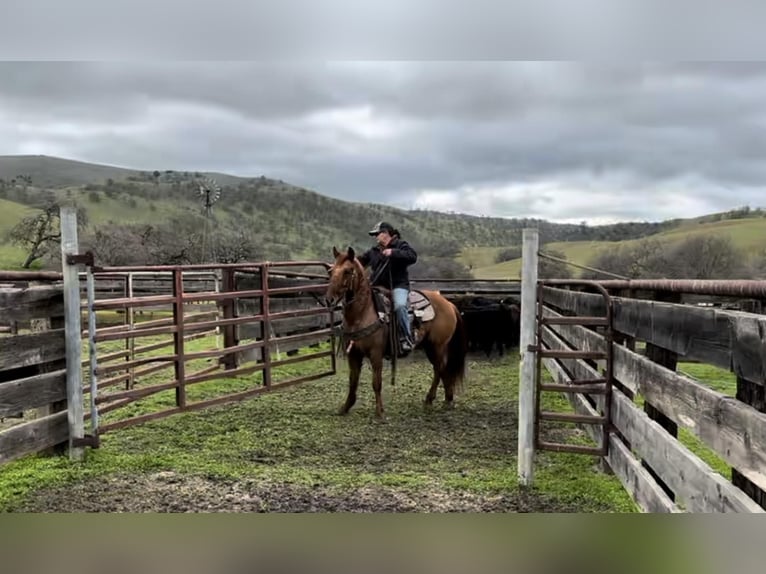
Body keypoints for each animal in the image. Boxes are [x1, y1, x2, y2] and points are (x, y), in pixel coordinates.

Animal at [324, 245, 468, 420]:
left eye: (347, 271)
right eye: (330, 271)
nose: (329, 300)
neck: (362, 313)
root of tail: (449, 304)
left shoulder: (375, 354)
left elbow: (376, 382)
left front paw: (379, 412)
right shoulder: (353, 354)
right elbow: (352, 381)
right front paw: (345, 407)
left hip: (438, 346)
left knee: (440, 369)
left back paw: (431, 399)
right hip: (429, 346)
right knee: (441, 369)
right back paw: (447, 399)